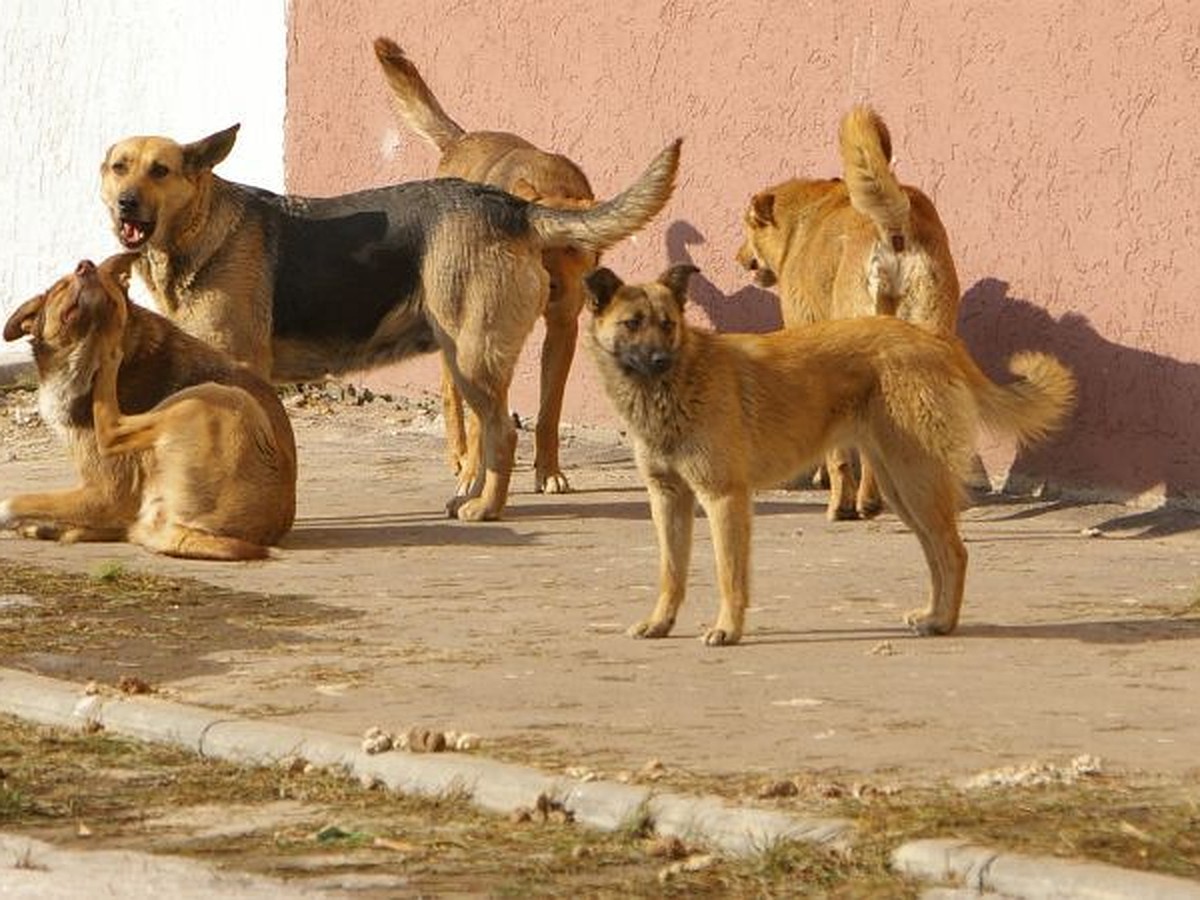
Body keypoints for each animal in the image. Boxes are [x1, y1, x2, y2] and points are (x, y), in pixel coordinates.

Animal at [0, 254, 297, 561]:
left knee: (112, 430)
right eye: (62, 286)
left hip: (217, 397)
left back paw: (110, 331)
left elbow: (11, 502)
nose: (87, 265)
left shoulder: (107, 493)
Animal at [98, 123, 681, 525]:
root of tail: (512, 207)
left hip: (472, 359)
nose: (126, 203)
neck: (199, 229)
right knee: (487, 435)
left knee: (502, 434)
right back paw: (469, 497)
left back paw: (486, 508)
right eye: (119, 167)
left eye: (161, 171)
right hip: (466, 361)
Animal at [372, 38, 597, 496]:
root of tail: (461, 140)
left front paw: (548, 470)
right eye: (535, 250)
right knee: (450, 391)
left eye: (572, 249)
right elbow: (482, 414)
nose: (550, 290)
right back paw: (460, 456)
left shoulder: (563, 329)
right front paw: (475, 471)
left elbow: (549, 411)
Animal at [585, 264, 1075, 643]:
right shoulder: (668, 498)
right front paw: (660, 623)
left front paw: (728, 629)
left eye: (668, 323)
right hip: (901, 488)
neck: (676, 384)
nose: (659, 360)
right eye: (632, 323)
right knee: (938, 554)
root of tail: (933, 340)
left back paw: (944, 624)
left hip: (916, 482)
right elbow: (671, 571)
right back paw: (934, 617)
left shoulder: (724, 498)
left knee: (954, 552)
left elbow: (730, 576)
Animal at [734, 105, 960, 520]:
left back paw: (862, 502)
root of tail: (893, 224)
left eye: (749, 227)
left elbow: (838, 453)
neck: (804, 221)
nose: (739, 257)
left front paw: (838, 495)